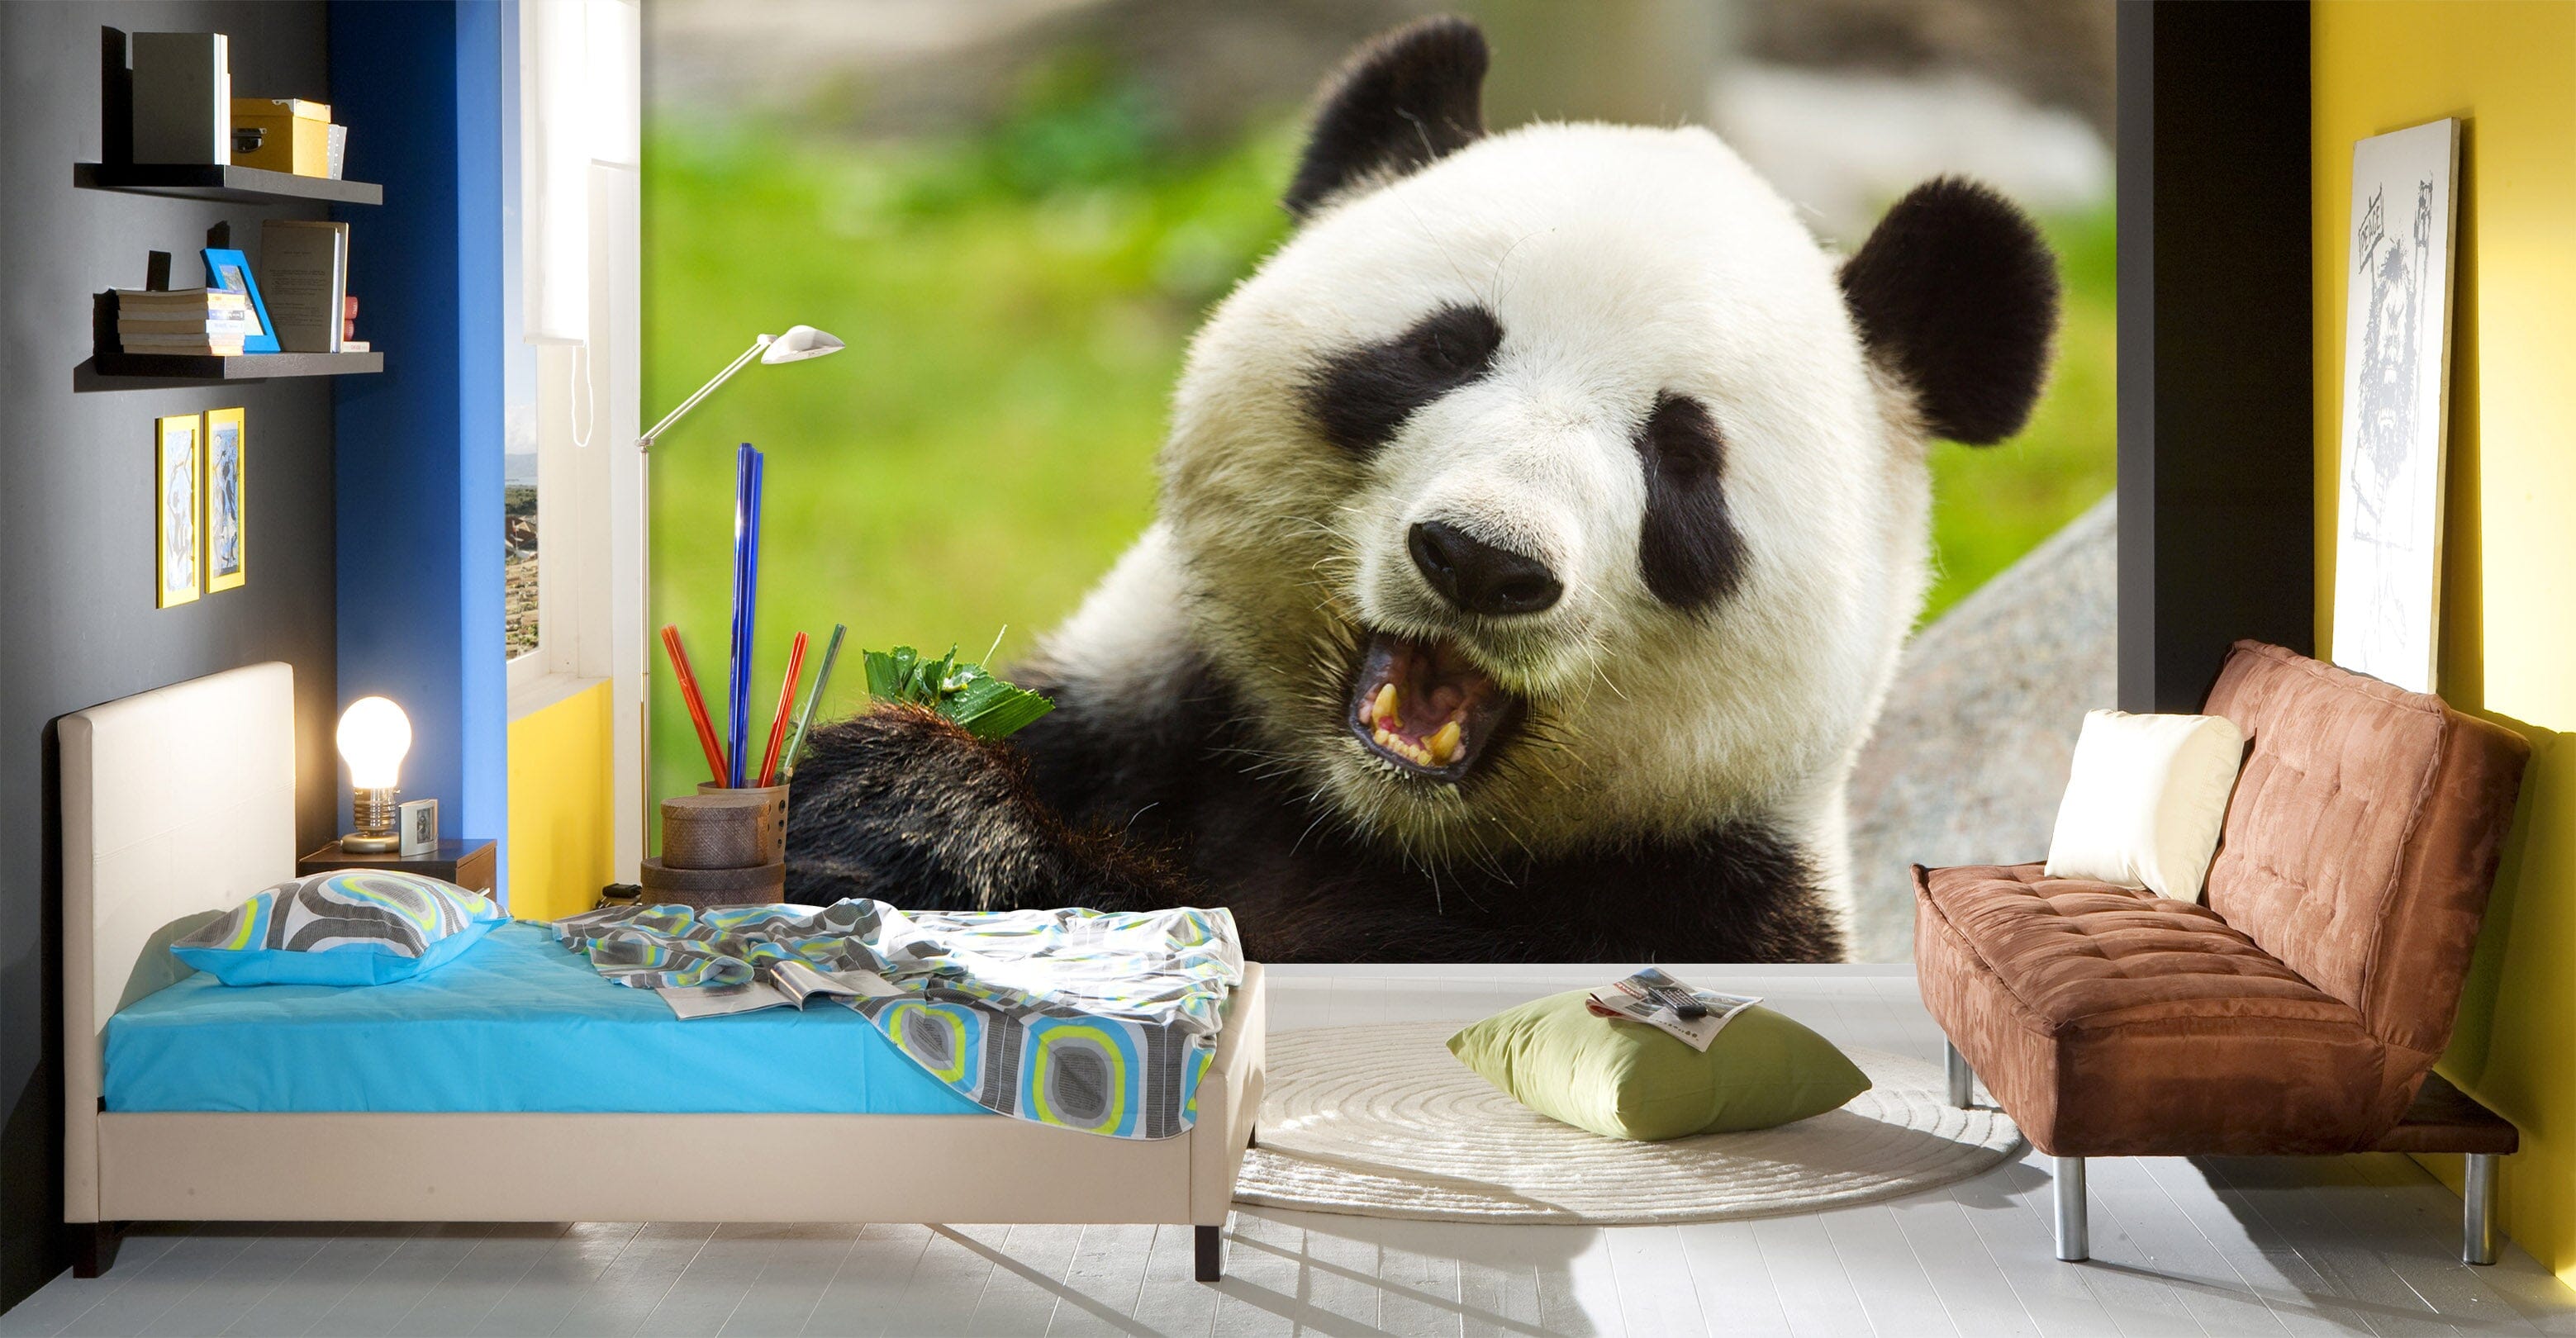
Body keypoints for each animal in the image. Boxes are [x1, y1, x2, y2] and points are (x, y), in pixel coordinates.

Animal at [784, 15, 2059, 964]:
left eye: (1682, 456)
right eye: (1443, 351)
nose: (1484, 560)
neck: (1363, 821)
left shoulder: (1692, 899)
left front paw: (938, 830)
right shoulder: (1124, 717)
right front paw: (894, 808)